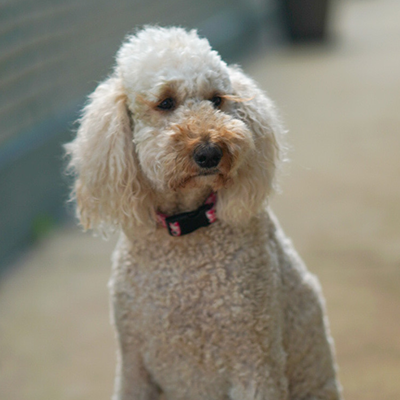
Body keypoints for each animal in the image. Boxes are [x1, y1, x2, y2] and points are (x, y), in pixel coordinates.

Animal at [65, 26, 340, 398]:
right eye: (166, 102)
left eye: (216, 100)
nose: (210, 152)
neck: (187, 231)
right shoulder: (134, 367)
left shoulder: (256, 364)